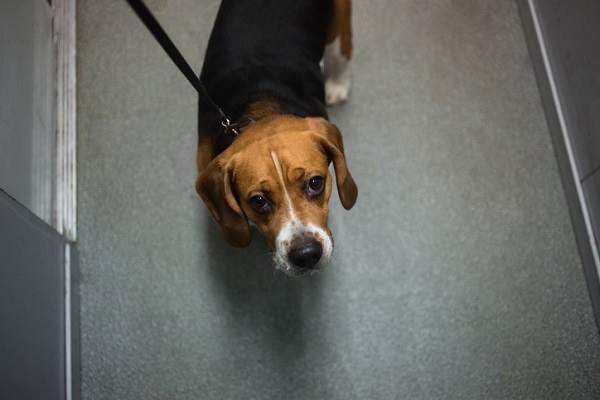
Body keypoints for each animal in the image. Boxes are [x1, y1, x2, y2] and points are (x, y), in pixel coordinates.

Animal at [196, 0, 356, 276]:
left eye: (316, 183)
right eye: (258, 201)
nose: (306, 254)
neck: (261, 107)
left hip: (338, 26)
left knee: (343, 52)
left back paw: (337, 85)